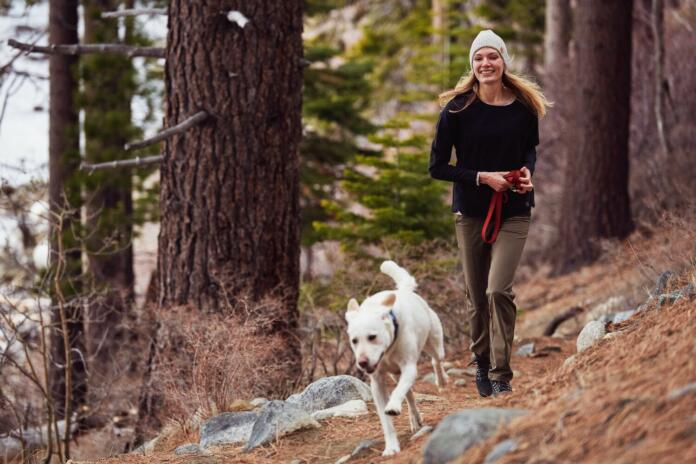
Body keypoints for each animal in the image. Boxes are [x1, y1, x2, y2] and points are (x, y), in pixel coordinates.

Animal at [346, 260, 448, 456]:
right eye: (354, 341)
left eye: (372, 337)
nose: (362, 363)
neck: (387, 350)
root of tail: (405, 291)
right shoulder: (377, 382)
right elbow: (386, 421)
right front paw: (391, 447)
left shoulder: (409, 367)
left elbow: (397, 392)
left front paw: (393, 406)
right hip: (395, 374)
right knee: (410, 396)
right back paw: (415, 418)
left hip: (434, 342)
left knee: (436, 360)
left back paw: (441, 380)